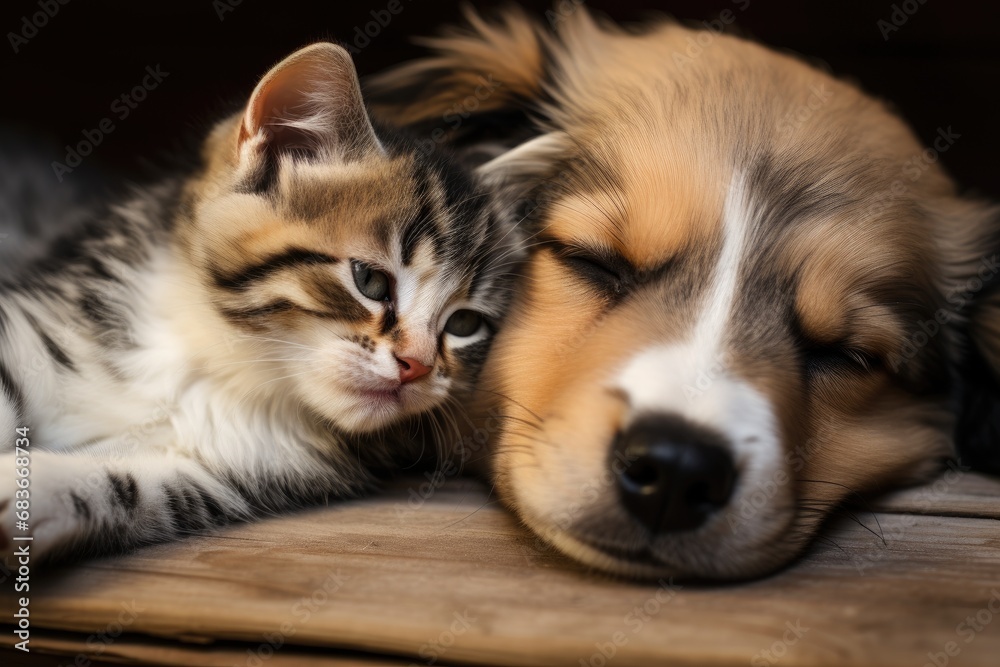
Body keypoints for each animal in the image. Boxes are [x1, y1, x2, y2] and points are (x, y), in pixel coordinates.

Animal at [0, 41, 516, 564]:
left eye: (464, 323)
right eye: (370, 280)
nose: (419, 365)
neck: (224, 362)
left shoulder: (222, 469)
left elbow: (130, 484)